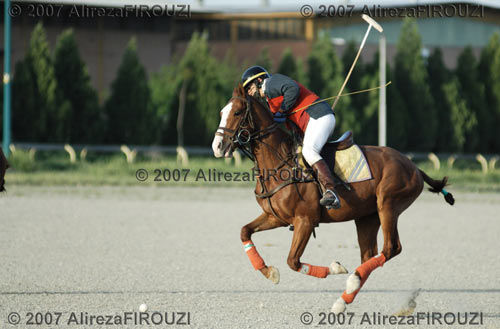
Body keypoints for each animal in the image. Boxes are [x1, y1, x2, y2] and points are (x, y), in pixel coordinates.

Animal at [211, 85, 454, 312]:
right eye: (222, 111)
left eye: (237, 112)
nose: (217, 147)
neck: (278, 163)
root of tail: (414, 166)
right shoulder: (275, 217)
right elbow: (245, 231)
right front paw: (269, 272)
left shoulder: (305, 220)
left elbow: (293, 261)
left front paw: (337, 267)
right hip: (367, 217)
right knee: (369, 255)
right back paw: (344, 298)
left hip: (388, 206)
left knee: (391, 248)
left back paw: (352, 281)